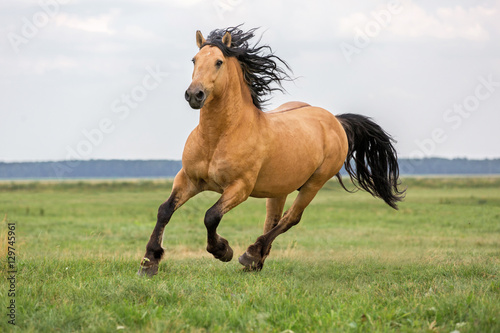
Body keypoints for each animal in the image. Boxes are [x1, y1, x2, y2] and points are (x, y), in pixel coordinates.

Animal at [138, 25, 406, 274]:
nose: (195, 94)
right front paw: (149, 261)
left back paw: (250, 255)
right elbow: (165, 210)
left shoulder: (240, 187)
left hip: (314, 183)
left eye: (218, 62)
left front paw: (223, 250)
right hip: (279, 189)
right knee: (273, 220)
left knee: (290, 219)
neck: (219, 136)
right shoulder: (188, 179)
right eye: (194, 60)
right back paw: (256, 261)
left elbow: (211, 216)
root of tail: (335, 121)